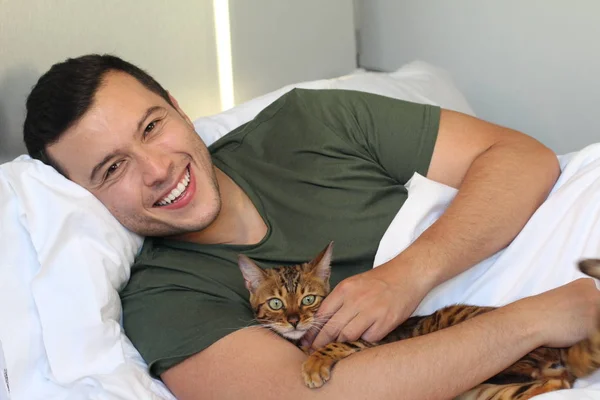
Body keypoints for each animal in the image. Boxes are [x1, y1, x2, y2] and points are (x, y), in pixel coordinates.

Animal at [237, 242, 600, 398]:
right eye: (275, 303)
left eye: (309, 299)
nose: (294, 320)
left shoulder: (373, 337)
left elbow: (340, 342)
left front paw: (314, 363)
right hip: (485, 391)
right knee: (552, 384)